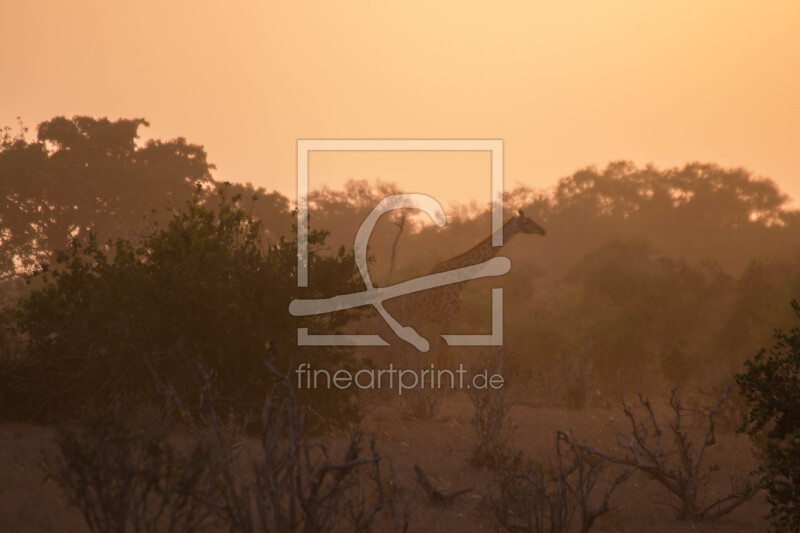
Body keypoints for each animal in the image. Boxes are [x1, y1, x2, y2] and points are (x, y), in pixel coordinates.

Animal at [382, 210, 548, 368]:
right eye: (527, 222)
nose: (543, 231)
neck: (461, 279)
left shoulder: (444, 321)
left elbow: (442, 356)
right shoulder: (449, 318)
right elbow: (443, 357)